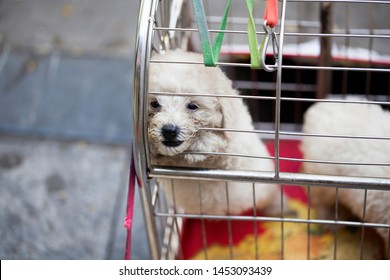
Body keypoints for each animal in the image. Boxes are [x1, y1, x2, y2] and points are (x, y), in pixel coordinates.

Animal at [147, 49, 280, 214]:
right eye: (154, 104)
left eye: (192, 106)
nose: (169, 130)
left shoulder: (235, 144)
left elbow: (222, 149)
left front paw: (202, 143)